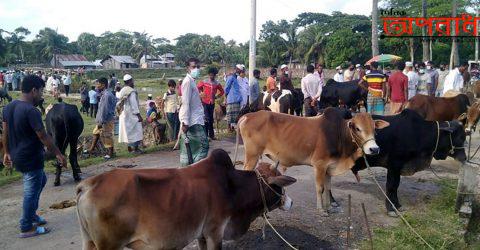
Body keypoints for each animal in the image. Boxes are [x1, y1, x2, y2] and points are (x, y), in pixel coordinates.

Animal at [76, 149, 294, 250]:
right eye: (279, 186)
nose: (290, 202)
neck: (232, 187)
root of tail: (88, 184)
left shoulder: (201, 235)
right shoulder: (215, 232)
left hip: (89, 242)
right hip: (109, 245)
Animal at [236, 108, 390, 216]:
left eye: (374, 129)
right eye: (357, 128)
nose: (374, 149)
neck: (338, 134)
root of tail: (247, 116)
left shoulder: (329, 167)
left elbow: (328, 187)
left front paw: (329, 207)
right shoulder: (320, 165)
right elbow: (320, 188)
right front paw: (321, 210)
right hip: (252, 155)